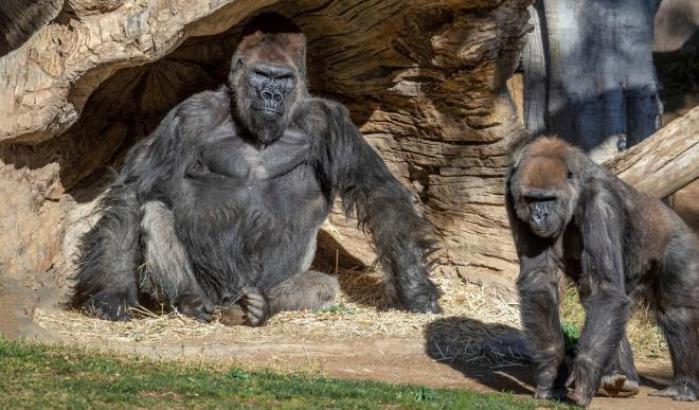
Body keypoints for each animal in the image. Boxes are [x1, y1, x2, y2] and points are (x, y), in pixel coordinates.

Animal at [70, 12, 441, 326]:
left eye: (284, 79)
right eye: (262, 74)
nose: (271, 95)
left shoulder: (328, 120)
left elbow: (378, 193)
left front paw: (414, 288)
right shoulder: (191, 115)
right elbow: (135, 192)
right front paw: (113, 292)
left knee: (322, 286)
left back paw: (261, 304)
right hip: (214, 292)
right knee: (156, 212)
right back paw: (192, 302)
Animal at [506, 136, 699, 406]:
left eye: (549, 199)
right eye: (532, 199)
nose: (539, 215)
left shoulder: (601, 201)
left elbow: (605, 289)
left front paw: (585, 373)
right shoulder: (511, 193)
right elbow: (540, 280)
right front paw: (550, 370)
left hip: (680, 243)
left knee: (676, 311)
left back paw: (683, 386)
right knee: (599, 303)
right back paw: (619, 377)